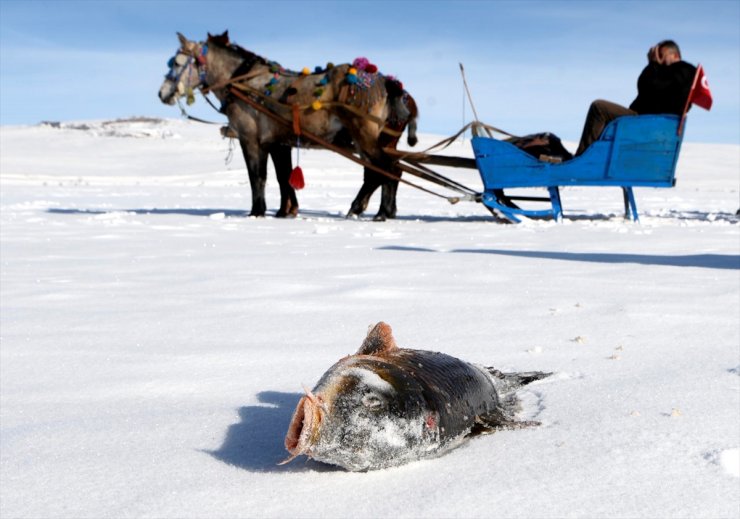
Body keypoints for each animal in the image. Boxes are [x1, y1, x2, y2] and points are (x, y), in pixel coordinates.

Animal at [157, 32, 420, 219]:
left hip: (364, 135)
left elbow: (258, 176)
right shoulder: (278, 142)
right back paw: (382, 211)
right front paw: (286, 211)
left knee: (385, 170)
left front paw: (257, 211)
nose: (162, 93)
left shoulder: (250, 139)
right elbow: (283, 176)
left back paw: (362, 209)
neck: (246, 84)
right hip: (377, 140)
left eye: (177, 62)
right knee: (389, 171)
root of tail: (389, 85)